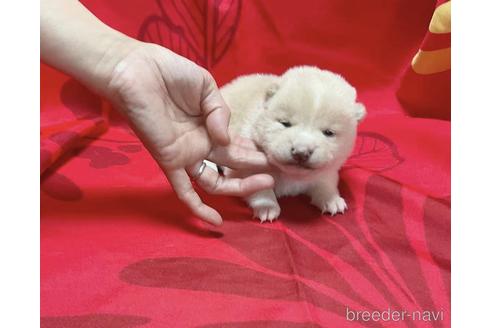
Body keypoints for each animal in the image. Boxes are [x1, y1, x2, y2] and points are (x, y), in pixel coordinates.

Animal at [219, 65, 366, 222]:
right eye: (285, 123)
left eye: (328, 132)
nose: (301, 152)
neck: (292, 175)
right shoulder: (244, 166)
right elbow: (258, 184)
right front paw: (267, 206)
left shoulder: (328, 169)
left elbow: (325, 182)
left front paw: (332, 199)